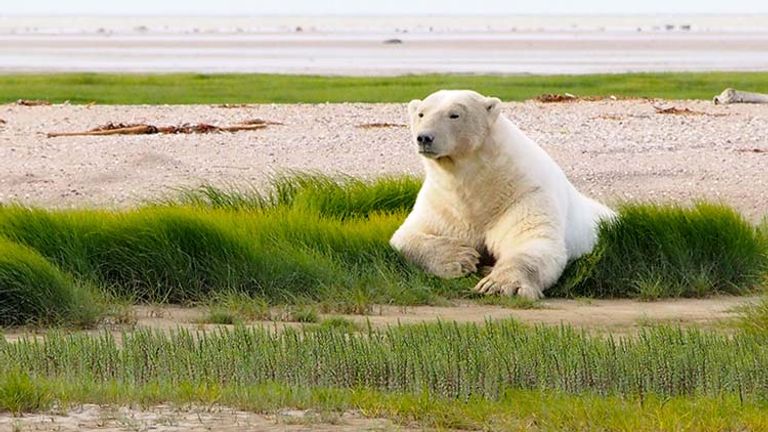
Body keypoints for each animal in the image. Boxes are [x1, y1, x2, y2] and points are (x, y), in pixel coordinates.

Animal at [390, 89, 615, 299]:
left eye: (454, 114)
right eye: (421, 113)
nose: (424, 138)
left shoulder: (525, 195)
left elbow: (533, 243)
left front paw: (499, 285)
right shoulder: (443, 202)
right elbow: (406, 236)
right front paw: (460, 258)